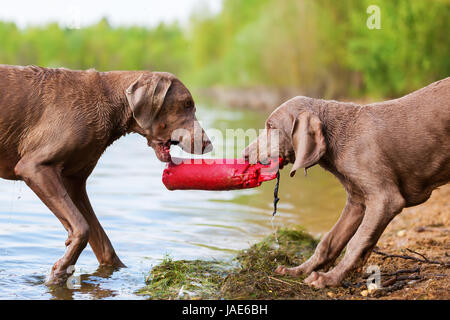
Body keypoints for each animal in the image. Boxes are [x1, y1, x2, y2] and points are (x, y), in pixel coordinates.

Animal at [0, 63, 213, 284]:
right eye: (186, 103)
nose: (208, 143)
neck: (111, 101)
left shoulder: (74, 182)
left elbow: (102, 243)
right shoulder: (34, 167)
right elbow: (82, 228)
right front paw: (58, 274)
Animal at [244, 77, 448, 288]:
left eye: (271, 126)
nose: (244, 154)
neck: (340, 135)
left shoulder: (385, 199)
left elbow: (356, 241)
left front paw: (329, 278)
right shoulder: (357, 202)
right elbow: (328, 241)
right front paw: (299, 270)